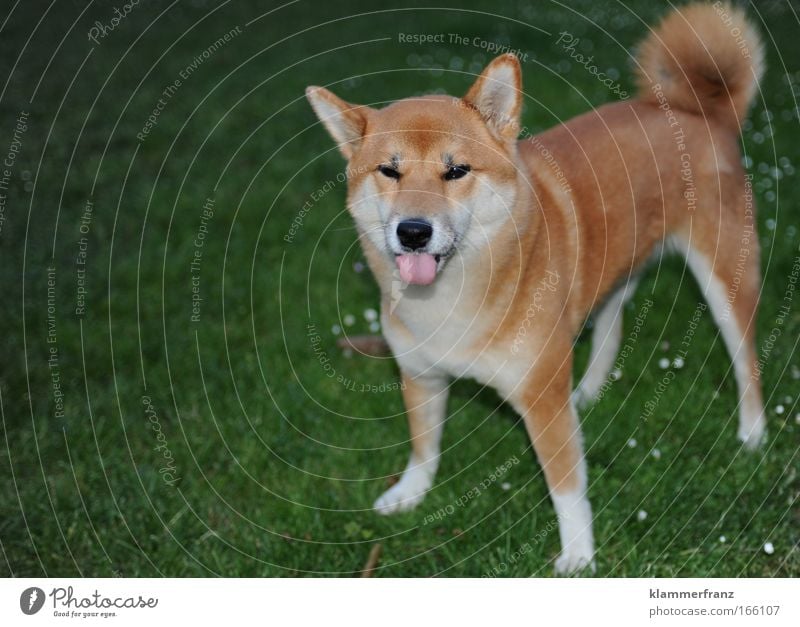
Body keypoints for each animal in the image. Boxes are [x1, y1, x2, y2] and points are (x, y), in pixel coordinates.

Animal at [304, 2, 764, 576]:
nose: (413, 231)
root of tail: (701, 113)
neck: (455, 301)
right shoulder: (420, 374)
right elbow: (423, 447)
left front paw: (579, 556)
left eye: (457, 170)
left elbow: (566, 487)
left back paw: (752, 433)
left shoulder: (541, 401)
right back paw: (588, 391)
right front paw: (410, 492)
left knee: (745, 355)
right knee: (611, 322)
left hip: (725, 276)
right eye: (389, 170)